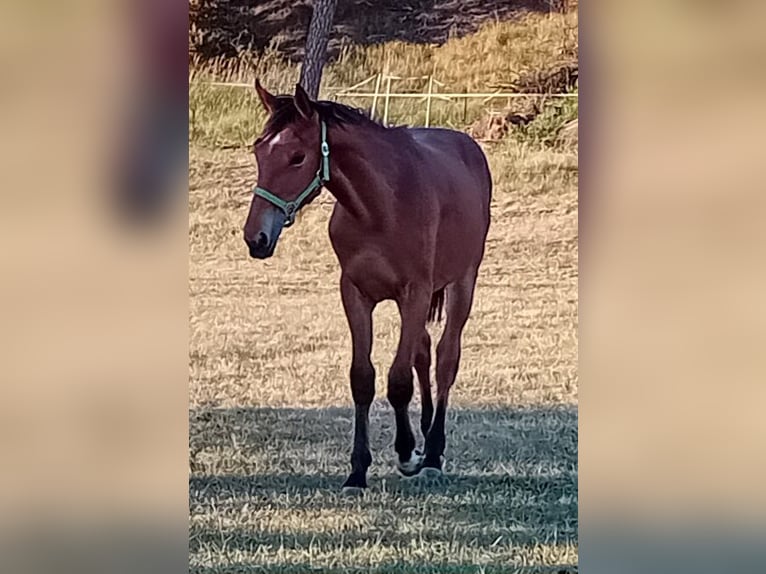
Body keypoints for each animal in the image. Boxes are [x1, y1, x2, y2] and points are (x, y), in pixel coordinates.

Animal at [244, 81, 492, 492]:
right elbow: (363, 378)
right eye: (258, 150)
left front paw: (407, 453)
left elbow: (398, 380)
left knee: (445, 358)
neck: (380, 206)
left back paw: (432, 453)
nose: (256, 238)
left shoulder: (414, 293)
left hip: (463, 283)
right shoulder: (356, 294)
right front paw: (358, 471)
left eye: (297, 157)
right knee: (423, 350)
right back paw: (424, 435)